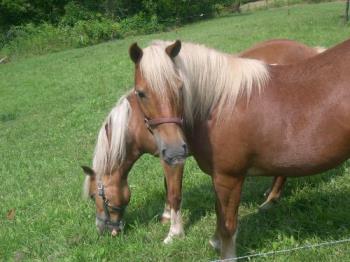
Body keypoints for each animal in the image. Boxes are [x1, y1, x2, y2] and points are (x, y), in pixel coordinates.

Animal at [82, 39, 326, 244]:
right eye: (141, 93)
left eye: (94, 195)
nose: (103, 229)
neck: (137, 122)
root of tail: (309, 50)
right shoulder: (166, 156)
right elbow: (167, 186)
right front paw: (167, 215)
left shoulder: (174, 158)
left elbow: (174, 192)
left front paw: (174, 232)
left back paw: (271, 200)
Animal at [129, 39, 350, 260]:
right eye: (141, 93)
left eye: (180, 87)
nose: (175, 151)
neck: (219, 105)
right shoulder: (218, 177)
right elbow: (219, 213)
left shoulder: (229, 178)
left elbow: (228, 225)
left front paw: (226, 253)